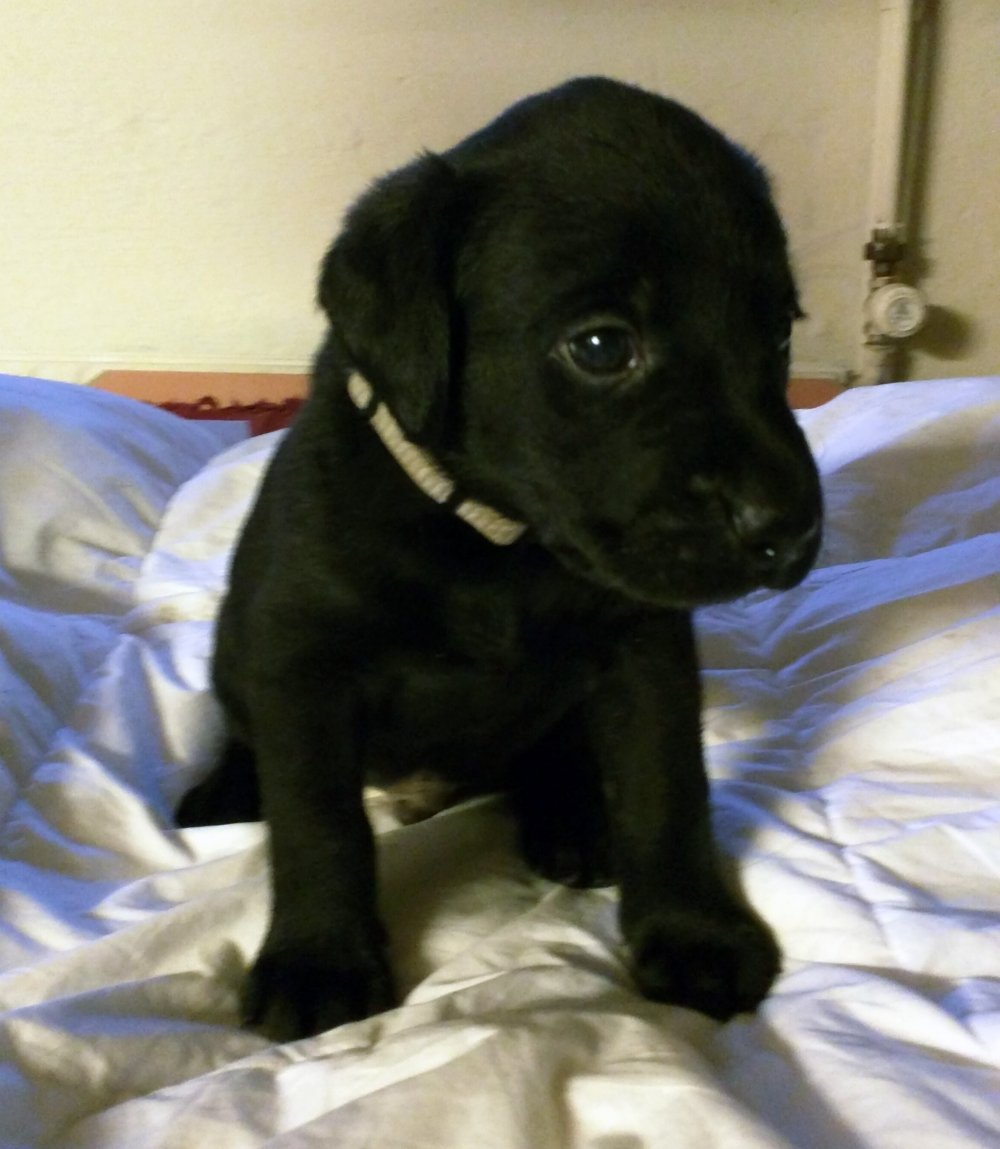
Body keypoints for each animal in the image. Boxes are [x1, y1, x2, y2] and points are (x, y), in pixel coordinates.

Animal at [178, 76, 823, 1043]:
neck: (495, 541)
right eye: (601, 345)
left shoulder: (644, 652)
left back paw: (574, 817)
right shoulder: (301, 660)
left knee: (558, 753)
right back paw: (224, 789)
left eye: (779, 333)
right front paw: (320, 959)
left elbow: (669, 789)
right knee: (243, 730)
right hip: (235, 648)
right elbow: (318, 822)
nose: (793, 530)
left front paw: (693, 930)